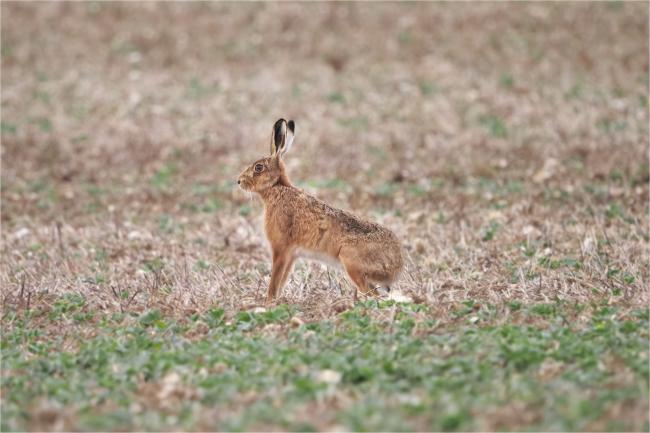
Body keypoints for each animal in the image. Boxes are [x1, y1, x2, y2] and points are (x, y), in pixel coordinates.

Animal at [238, 118, 403, 304]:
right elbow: (282, 280)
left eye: (258, 168)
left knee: (372, 295)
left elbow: (275, 280)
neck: (277, 187)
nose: (239, 181)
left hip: (351, 262)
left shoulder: (280, 248)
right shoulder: (291, 255)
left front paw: (269, 302)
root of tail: (397, 267)